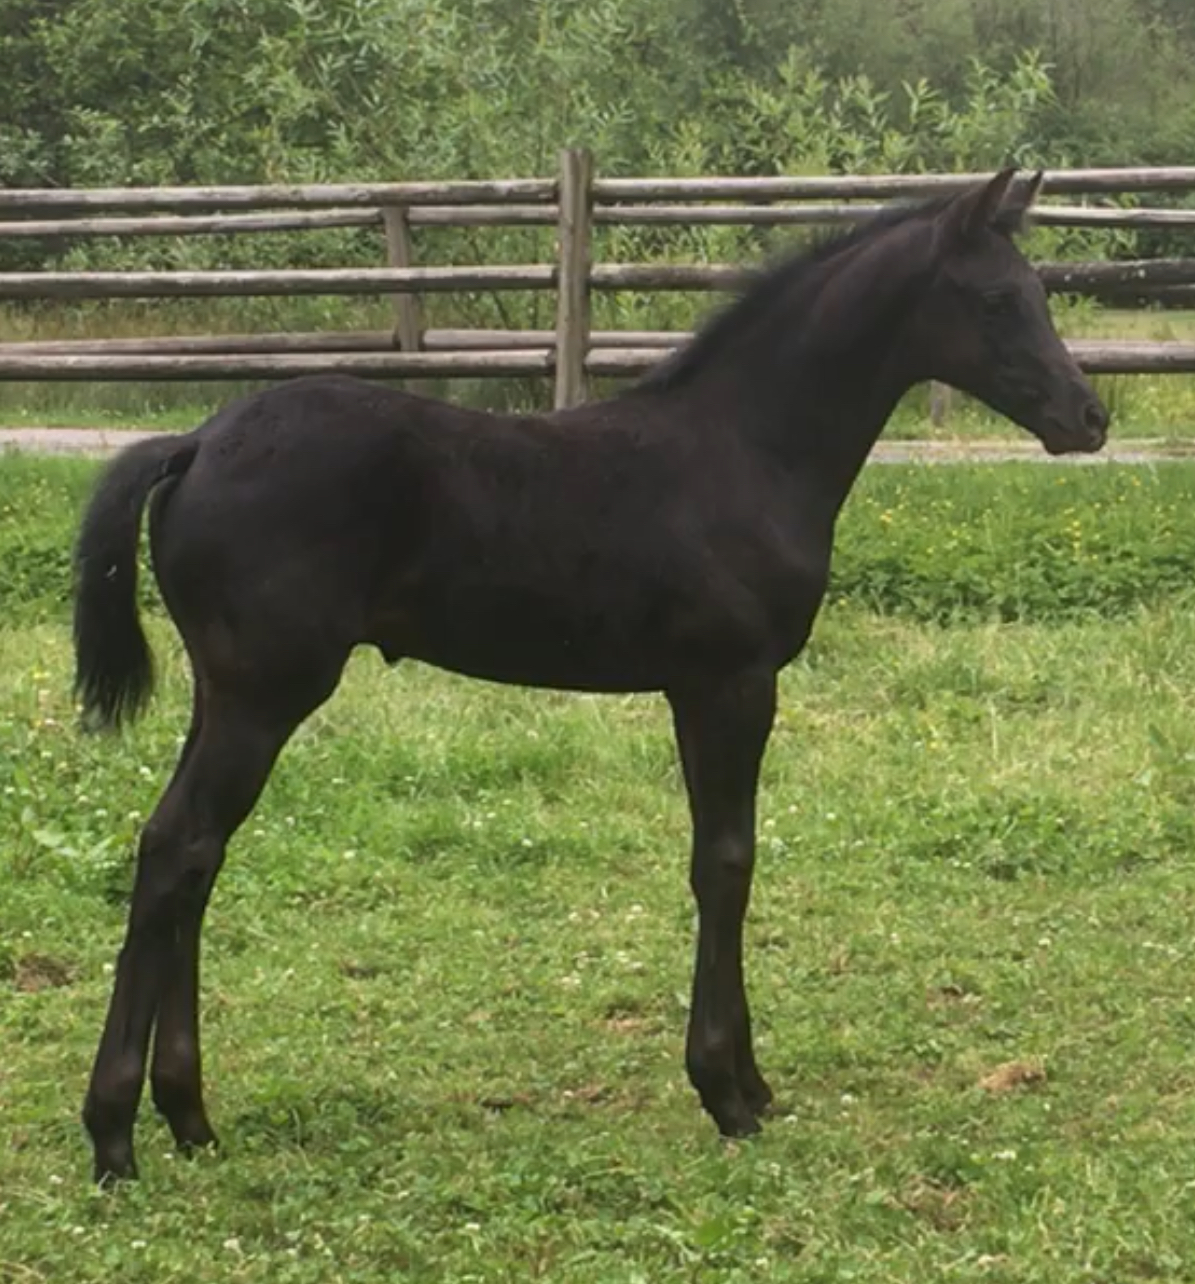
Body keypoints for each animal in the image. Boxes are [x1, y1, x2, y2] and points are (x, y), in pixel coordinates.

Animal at [72, 169, 1108, 1183]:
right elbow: (725, 862)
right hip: (265, 694)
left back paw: (189, 1116)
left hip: (224, 695)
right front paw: (728, 1091)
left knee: (194, 856)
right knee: (177, 848)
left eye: (1038, 292)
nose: (1088, 418)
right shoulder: (726, 684)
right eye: (994, 299)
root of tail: (197, 443)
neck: (743, 452)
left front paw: (750, 1083)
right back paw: (115, 1133)